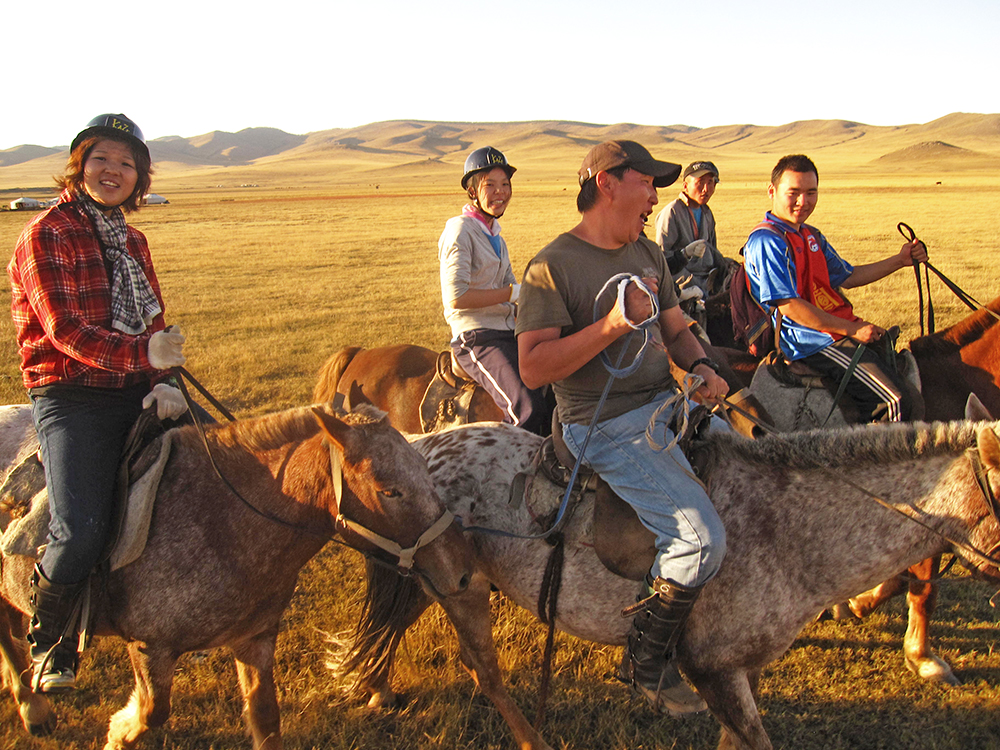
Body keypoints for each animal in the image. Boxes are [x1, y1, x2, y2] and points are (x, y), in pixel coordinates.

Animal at [0, 402, 470, 748]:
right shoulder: (150, 649)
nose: (461, 571)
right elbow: (150, 712)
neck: (221, 518)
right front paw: (116, 733)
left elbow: (266, 721)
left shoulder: (254, 639)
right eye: (389, 490)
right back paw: (33, 704)